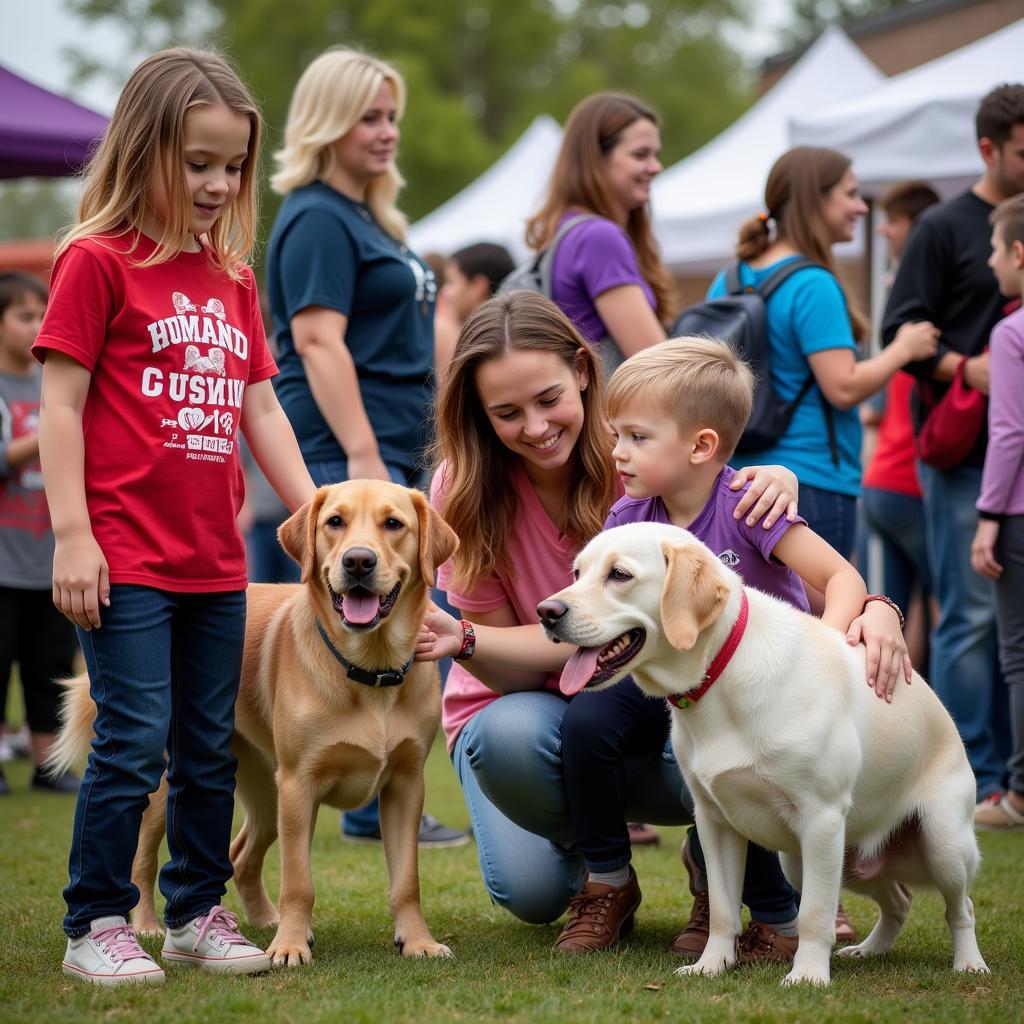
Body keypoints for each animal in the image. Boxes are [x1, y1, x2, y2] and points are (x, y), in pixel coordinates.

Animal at [49, 483, 458, 962]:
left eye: (393, 524)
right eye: (334, 522)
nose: (358, 561)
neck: (369, 669)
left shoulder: (406, 785)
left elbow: (406, 882)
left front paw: (417, 941)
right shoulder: (300, 785)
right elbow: (299, 881)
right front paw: (291, 947)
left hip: (266, 793)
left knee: (241, 855)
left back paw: (264, 920)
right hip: (173, 784)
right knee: (142, 859)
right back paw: (148, 925)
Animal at [540, 524, 987, 987]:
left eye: (620, 574)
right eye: (577, 572)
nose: (545, 612)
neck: (720, 673)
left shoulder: (822, 817)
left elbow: (813, 914)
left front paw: (808, 975)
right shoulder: (713, 820)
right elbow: (722, 908)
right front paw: (711, 964)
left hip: (941, 844)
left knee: (962, 908)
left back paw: (969, 963)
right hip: (825, 860)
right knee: (899, 900)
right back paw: (869, 950)